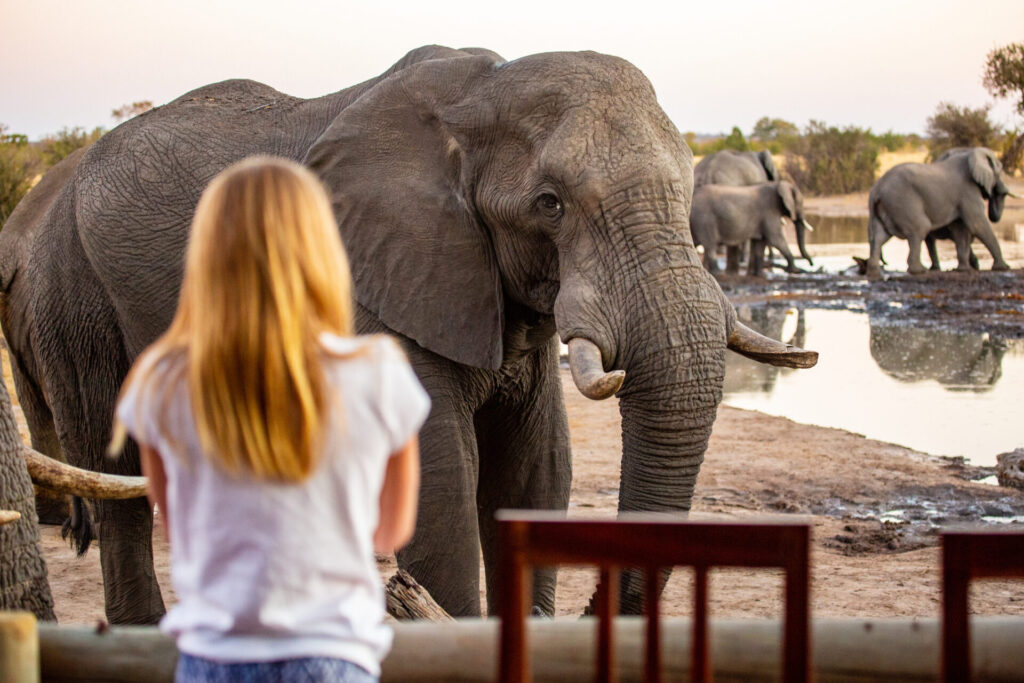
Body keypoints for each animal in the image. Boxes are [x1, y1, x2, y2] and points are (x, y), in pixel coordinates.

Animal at [0, 42, 815, 622]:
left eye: (686, 189)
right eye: (550, 203)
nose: (595, 610)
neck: (476, 95)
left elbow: (533, 466)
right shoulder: (377, 281)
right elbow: (444, 479)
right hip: (74, 290)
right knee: (112, 457)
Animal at [864, 147, 1015, 278]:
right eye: (1000, 170)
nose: (998, 191)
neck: (969, 155)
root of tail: (877, 188)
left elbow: (960, 230)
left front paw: (963, 270)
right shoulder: (967, 191)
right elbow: (977, 224)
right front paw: (1003, 267)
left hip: (886, 207)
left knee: (879, 236)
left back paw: (874, 273)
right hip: (903, 202)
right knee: (920, 228)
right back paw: (920, 271)